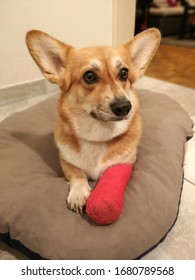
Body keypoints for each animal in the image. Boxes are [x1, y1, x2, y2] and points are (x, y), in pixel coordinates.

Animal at [25, 27, 160, 212]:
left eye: (124, 73)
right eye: (89, 76)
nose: (124, 106)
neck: (98, 136)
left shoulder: (126, 163)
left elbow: (110, 173)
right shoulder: (65, 161)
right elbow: (77, 173)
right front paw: (79, 193)